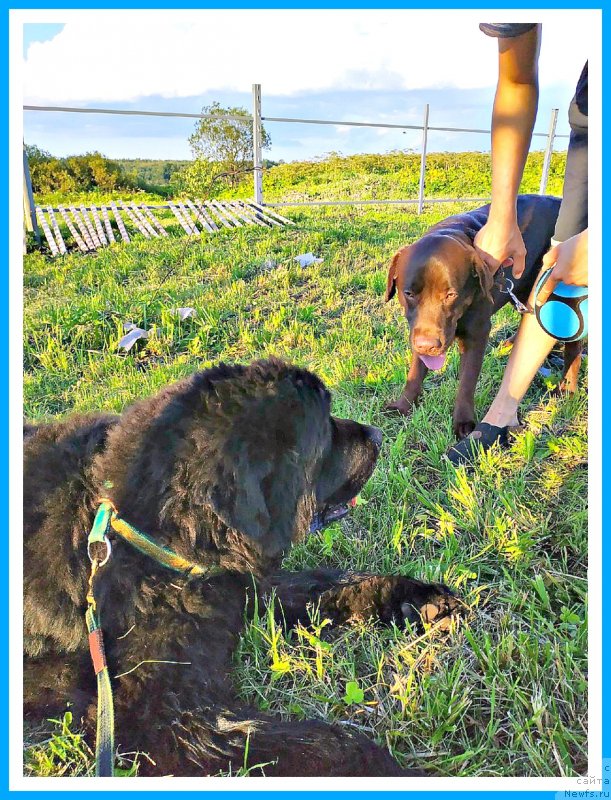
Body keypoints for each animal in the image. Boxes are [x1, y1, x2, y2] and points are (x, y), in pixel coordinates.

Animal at [21, 360, 456, 780]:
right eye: (325, 430)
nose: (379, 434)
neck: (148, 536)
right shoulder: (158, 711)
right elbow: (320, 743)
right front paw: (393, 770)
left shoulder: (237, 584)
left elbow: (326, 583)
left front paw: (417, 600)